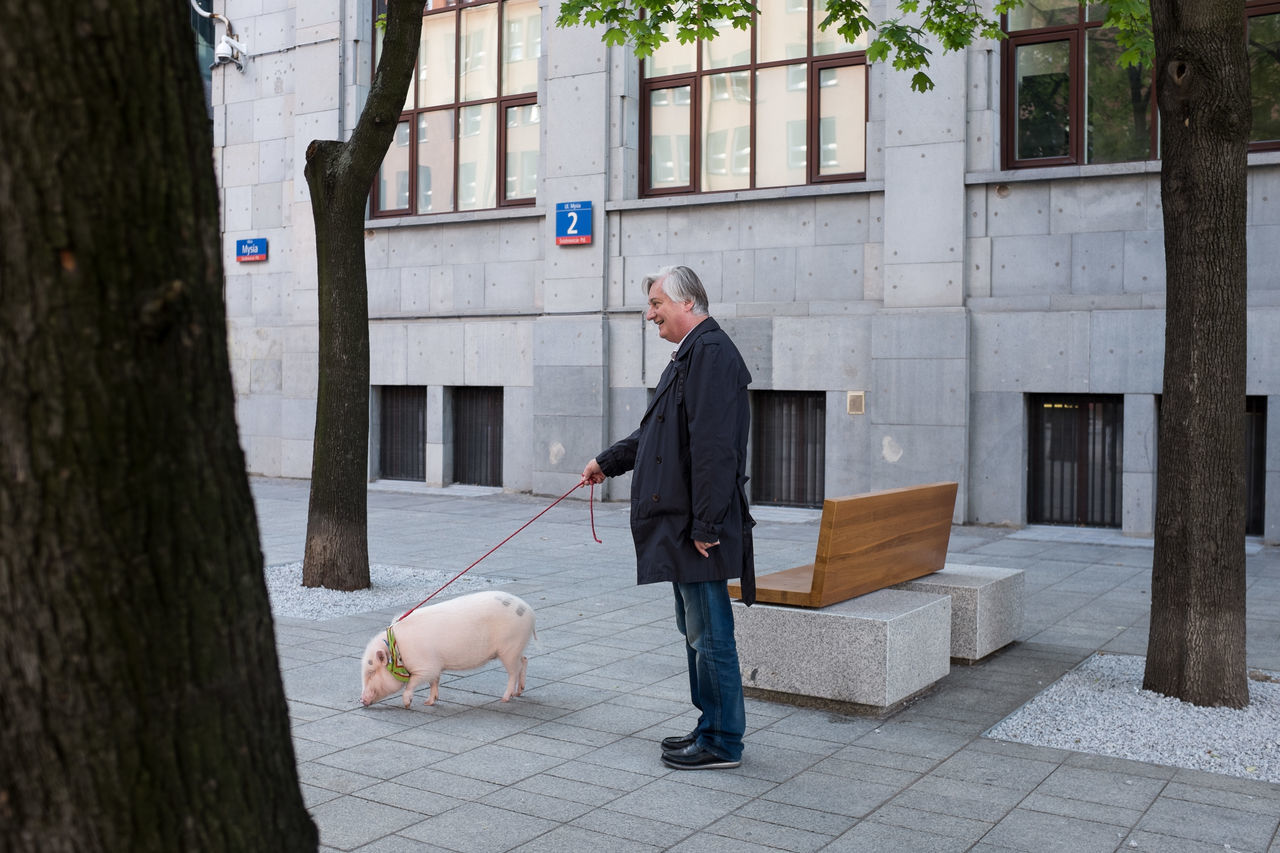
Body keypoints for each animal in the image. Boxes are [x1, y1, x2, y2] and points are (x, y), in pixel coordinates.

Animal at [360, 591, 535, 701]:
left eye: (371, 671)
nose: (361, 700)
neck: (398, 650)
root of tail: (530, 612)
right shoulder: (436, 665)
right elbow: (434, 681)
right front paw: (430, 702)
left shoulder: (427, 666)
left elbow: (414, 682)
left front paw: (408, 703)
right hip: (516, 648)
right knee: (524, 660)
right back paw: (519, 693)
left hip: (509, 648)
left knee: (514, 672)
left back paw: (505, 699)